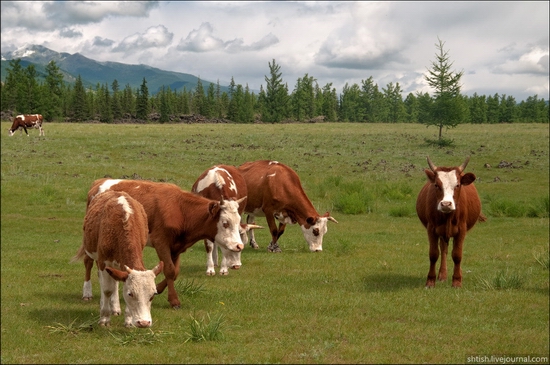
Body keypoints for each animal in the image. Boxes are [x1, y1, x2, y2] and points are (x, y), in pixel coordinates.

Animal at [71, 191, 163, 328]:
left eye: (153, 295)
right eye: (131, 294)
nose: (144, 323)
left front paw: (128, 320)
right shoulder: (103, 261)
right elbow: (107, 290)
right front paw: (104, 318)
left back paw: (115, 307)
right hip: (90, 249)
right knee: (89, 265)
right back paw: (88, 294)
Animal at [85, 176, 245, 308]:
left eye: (238, 221)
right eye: (225, 223)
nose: (239, 246)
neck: (180, 210)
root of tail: (99, 182)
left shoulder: (177, 247)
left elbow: (175, 272)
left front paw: (157, 288)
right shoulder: (161, 243)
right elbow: (169, 270)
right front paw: (174, 300)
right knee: (88, 262)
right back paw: (87, 293)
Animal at [418, 156, 488, 288]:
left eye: (457, 185)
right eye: (436, 185)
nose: (446, 204)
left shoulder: (461, 230)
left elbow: (457, 255)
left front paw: (457, 281)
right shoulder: (431, 229)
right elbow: (434, 254)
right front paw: (430, 281)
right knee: (444, 250)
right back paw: (442, 275)